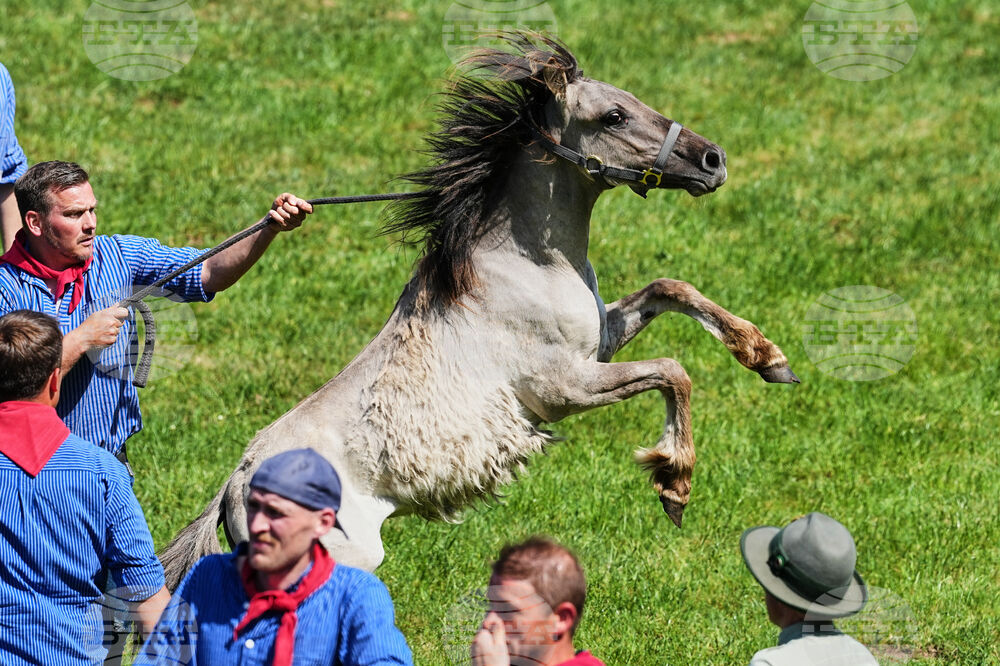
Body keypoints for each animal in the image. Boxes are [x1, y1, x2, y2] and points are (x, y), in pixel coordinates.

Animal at [160, 33, 798, 586]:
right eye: (614, 116)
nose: (712, 159)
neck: (526, 260)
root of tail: (234, 485)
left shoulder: (599, 343)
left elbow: (672, 288)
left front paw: (767, 357)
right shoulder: (564, 389)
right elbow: (674, 371)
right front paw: (674, 486)